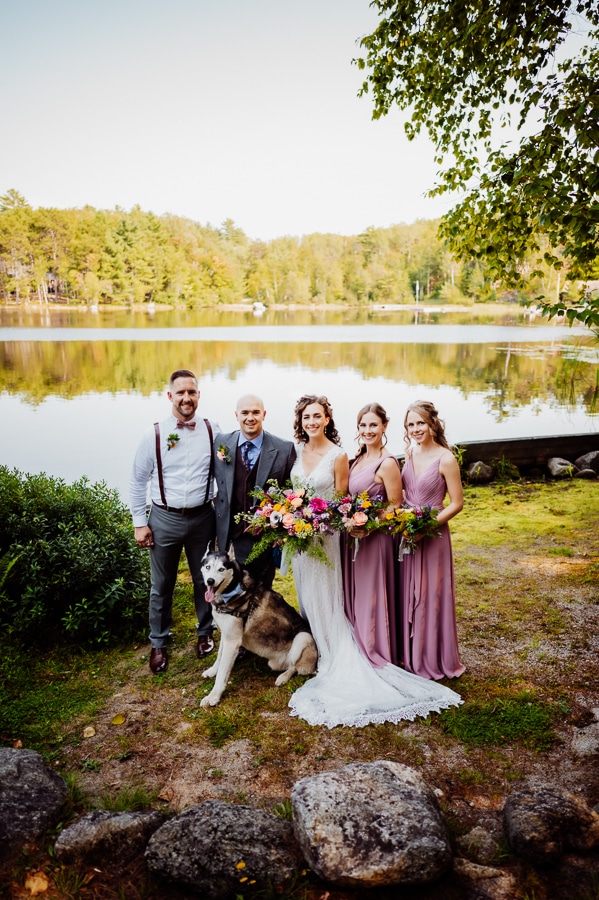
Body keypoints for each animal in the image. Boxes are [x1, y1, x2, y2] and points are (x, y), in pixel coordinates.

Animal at [199, 544, 318, 708]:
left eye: (221, 569)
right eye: (208, 567)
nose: (210, 581)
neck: (232, 590)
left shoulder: (233, 641)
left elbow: (223, 673)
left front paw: (214, 696)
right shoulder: (226, 634)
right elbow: (219, 657)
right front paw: (212, 671)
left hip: (303, 637)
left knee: (296, 667)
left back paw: (283, 677)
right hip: (274, 662)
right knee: (290, 665)